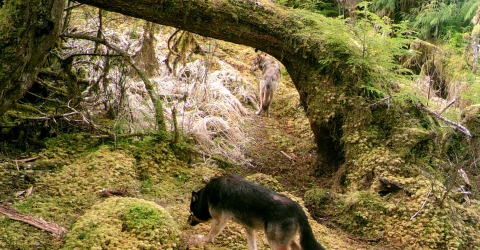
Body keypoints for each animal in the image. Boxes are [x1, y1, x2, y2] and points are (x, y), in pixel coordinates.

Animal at [188, 175, 326, 249]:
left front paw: (203, 239)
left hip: (275, 242)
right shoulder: (249, 227)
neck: (207, 195)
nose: (187, 222)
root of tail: (297, 207)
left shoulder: (219, 220)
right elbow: (252, 245)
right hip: (286, 240)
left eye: (191, 212)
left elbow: (210, 234)